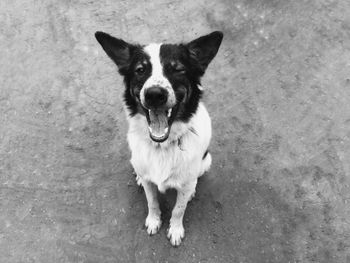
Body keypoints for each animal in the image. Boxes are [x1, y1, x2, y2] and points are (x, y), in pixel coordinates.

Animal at [94, 31, 223, 248]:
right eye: (140, 70)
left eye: (178, 69)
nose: (154, 94)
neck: (162, 146)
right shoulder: (149, 181)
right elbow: (152, 201)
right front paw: (154, 221)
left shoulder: (185, 183)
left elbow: (178, 209)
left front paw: (176, 229)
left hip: (206, 161)